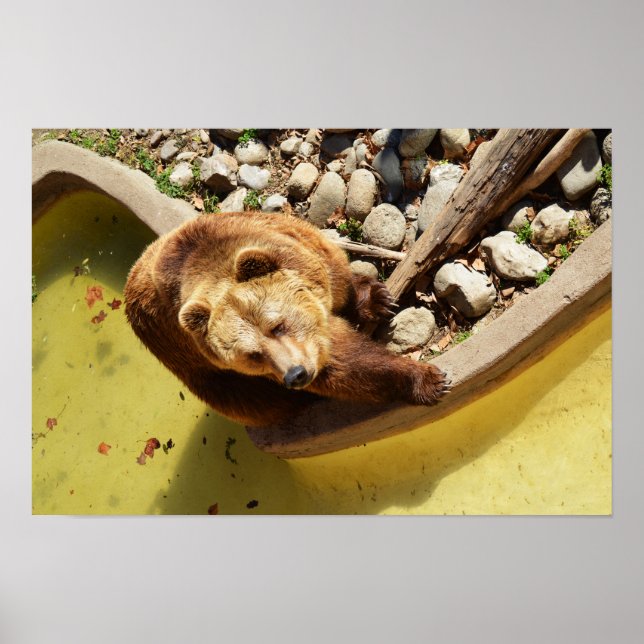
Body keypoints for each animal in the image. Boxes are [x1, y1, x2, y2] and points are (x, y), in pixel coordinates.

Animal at [124, 212, 449, 427]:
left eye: (277, 326)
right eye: (253, 355)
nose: (296, 375)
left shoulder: (309, 253)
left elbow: (342, 285)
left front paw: (377, 298)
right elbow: (344, 364)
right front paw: (429, 380)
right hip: (194, 367)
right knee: (250, 401)